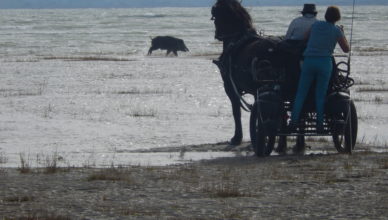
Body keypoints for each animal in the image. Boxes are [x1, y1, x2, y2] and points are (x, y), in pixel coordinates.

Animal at [211, 0, 302, 150]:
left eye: (215, 14)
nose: (217, 35)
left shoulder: (230, 87)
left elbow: (236, 111)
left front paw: (237, 138)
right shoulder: (256, 91)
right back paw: (295, 145)